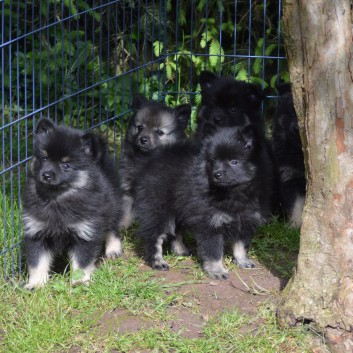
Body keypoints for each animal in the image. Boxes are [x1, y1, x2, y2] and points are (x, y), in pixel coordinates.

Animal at [22, 118, 121, 288]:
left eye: (66, 165)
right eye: (44, 158)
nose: (46, 175)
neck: (56, 198)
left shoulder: (85, 233)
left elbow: (81, 263)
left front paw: (79, 282)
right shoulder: (36, 232)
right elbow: (37, 262)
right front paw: (36, 284)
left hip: (114, 207)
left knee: (113, 228)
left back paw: (113, 249)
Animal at [133, 126, 274, 278]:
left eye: (234, 161)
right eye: (213, 160)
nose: (216, 174)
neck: (233, 193)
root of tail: (154, 160)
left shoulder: (245, 222)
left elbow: (241, 245)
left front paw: (242, 261)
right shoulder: (211, 224)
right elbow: (214, 252)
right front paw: (217, 271)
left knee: (176, 232)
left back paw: (180, 250)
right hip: (159, 211)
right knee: (153, 236)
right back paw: (157, 261)